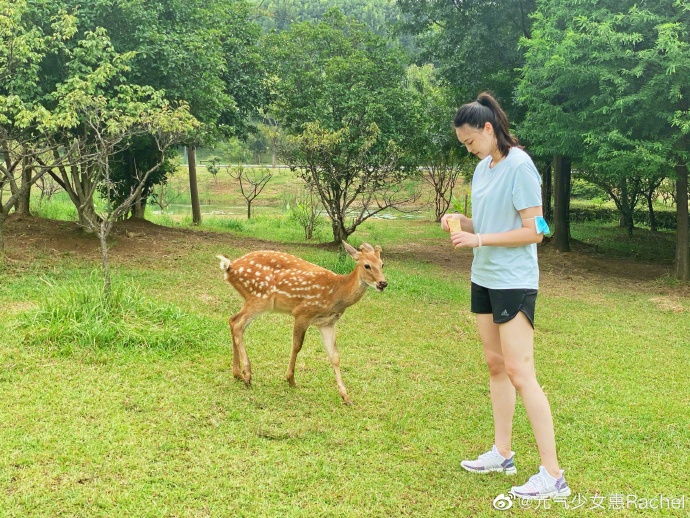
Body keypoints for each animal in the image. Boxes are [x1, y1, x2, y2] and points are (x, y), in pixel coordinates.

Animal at [216, 241, 387, 405]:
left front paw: (346, 397)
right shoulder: (302, 313)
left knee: (233, 320)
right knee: (237, 324)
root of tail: (229, 267)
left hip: (252, 299)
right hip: (260, 297)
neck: (337, 292)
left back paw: (237, 374)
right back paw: (247, 375)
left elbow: (335, 356)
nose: (383, 283)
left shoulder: (326, 323)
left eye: (382, 264)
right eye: (367, 265)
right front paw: (290, 379)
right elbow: (297, 346)